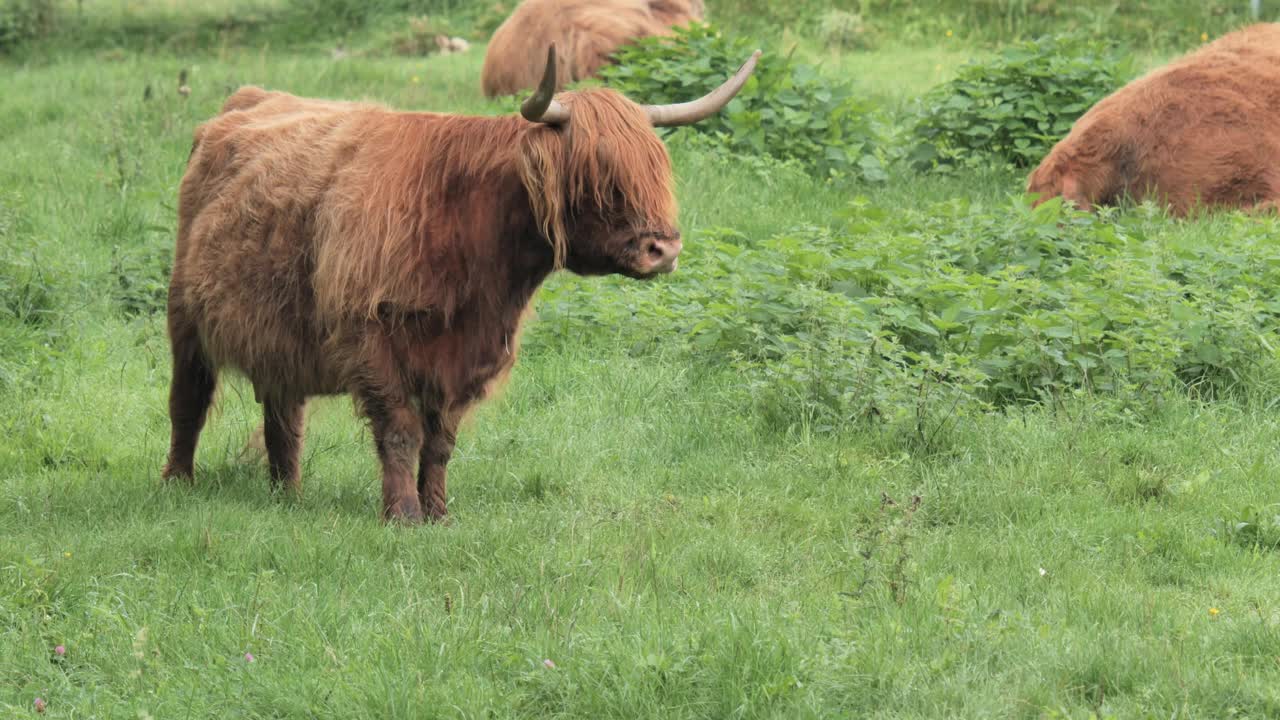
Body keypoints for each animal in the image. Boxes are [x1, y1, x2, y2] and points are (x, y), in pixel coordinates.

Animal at [160, 46, 757, 520]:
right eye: (595, 175)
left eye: (657, 168)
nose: (664, 250)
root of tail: (245, 101)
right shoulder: (371, 338)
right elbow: (401, 431)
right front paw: (402, 514)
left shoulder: (470, 355)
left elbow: (441, 442)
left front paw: (439, 512)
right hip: (185, 318)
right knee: (188, 401)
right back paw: (178, 483)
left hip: (281, 335)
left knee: (284, 416)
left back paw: (288, 494)